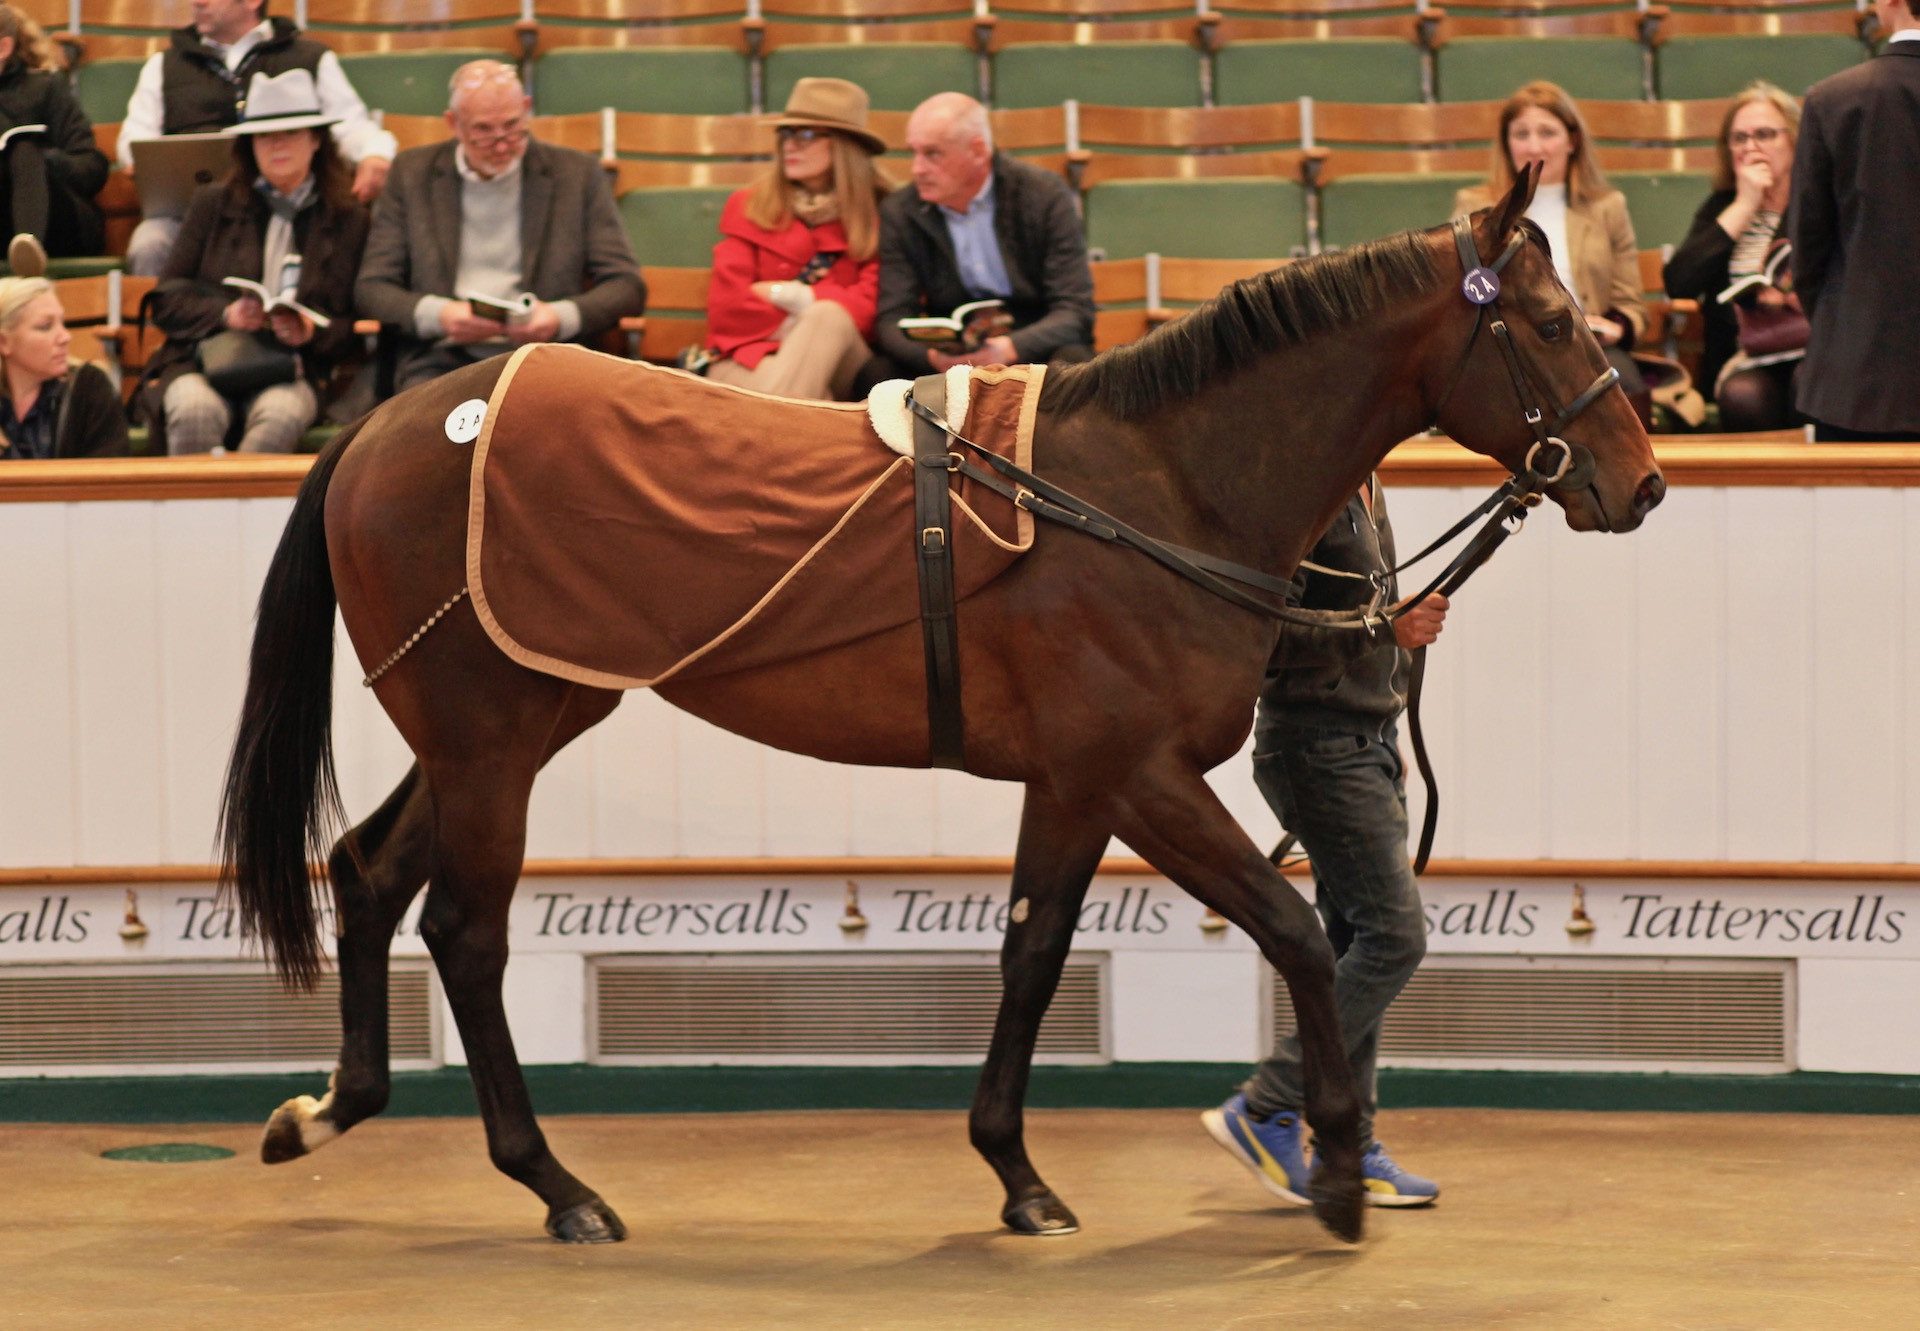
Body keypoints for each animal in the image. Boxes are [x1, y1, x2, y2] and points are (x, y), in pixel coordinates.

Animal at [217, 166, 1666, 1244]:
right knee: (463, 931)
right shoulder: (1141, 774)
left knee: (367, 872)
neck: (1149, 488)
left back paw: (326, 1109)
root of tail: (389, 425)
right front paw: (1338, 1176)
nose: (1641, 480)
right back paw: (558, 1185)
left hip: (499, 729)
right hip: (495, 741)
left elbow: (1033, 952)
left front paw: (1018, 1174)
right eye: (1550, 324)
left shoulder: (1074, 783)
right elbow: (1300, 931)